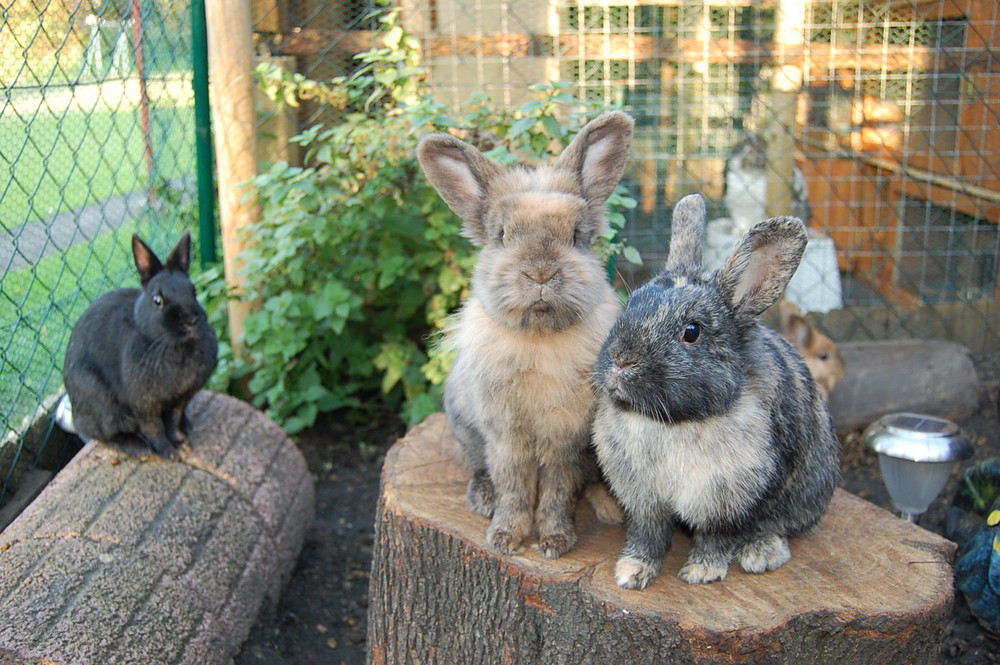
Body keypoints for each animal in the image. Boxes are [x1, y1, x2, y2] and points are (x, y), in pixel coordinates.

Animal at [64, 232, 219, 456]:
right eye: (157, 300)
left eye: (194, 291)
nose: (190, 320)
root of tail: (75, 414)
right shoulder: (143, 406)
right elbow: (153, 428)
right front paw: (169, 452)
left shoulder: (180, 399)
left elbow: (173, 420)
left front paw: (181, 442)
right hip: (99, 400)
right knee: (103, 433)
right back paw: (136, 446)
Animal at [418, 111, 636, 556]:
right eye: (501, 235)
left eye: (577, 236)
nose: (540, 273)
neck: (540, 335)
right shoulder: (505, 434)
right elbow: (514, 485)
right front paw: (505, 537)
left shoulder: (565, 438)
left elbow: (557, 489)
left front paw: (554, 540)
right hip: (462, 425)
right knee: (478, 466)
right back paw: (482, 499)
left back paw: (609, 508)